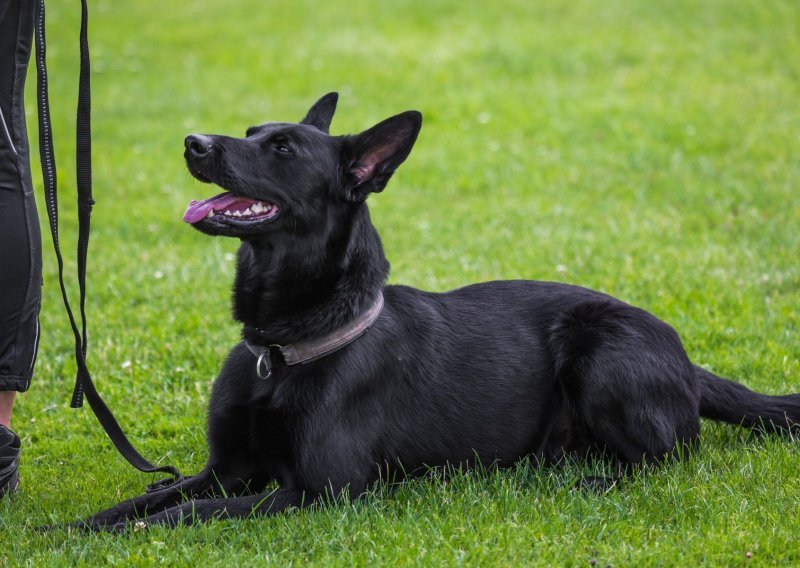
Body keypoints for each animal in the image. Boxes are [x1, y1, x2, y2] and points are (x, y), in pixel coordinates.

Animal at [78, 91, 796, 532]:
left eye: (282, 149)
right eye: (253, 133)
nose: (192, 142)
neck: (282, 350)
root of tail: (688, 363)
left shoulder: (318, 491)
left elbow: (182, 514)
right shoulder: (223, 471)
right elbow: (145, 498)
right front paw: (72, 528)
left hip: (600, 351)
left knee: (664, 460)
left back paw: (580, 479)